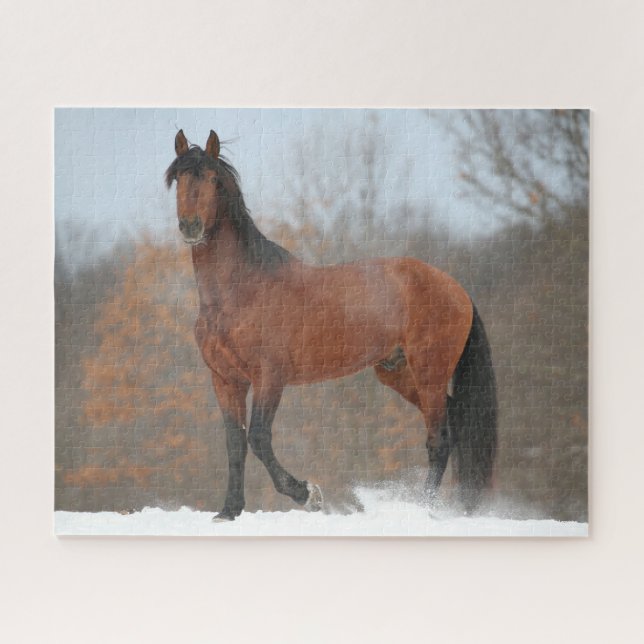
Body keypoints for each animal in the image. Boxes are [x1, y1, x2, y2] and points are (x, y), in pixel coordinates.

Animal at [165, 129, 497, 522]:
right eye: (178, 179)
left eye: (214, 179)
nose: (191, 226)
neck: (240, 291)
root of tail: (456, 289)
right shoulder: (225, 380)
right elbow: (235, 443)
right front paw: (229, 511)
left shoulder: (270, 376)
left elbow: (258, 438)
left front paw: (309, 495)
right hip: (398, 373)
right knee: (456, 423)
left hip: (429, 373)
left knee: (439, 440)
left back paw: (423, 509)